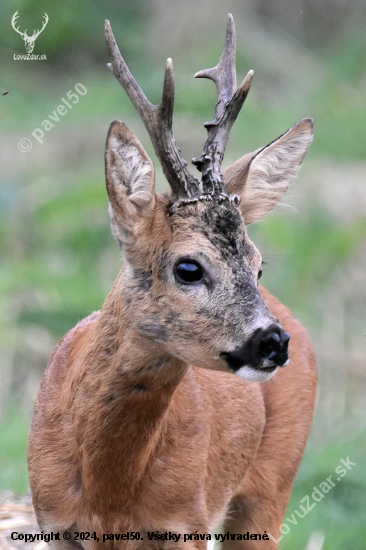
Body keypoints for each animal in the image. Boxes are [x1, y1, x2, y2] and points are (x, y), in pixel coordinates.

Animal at [27, 15, 318, 548]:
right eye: (188, 267)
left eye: (258, 264)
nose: (272, 341)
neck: (110, 493)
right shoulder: (52, 523)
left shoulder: (186, 522)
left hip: (273, 483)